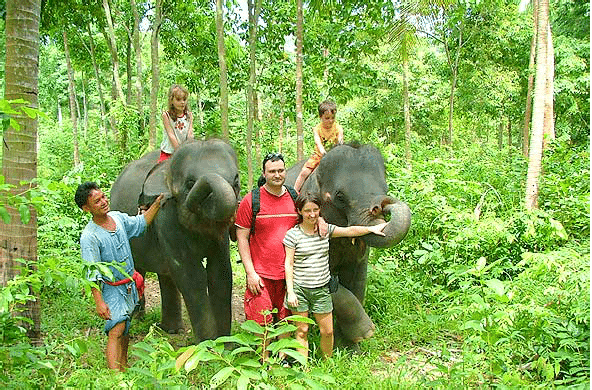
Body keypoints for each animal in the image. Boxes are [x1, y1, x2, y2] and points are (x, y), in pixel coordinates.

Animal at [110, 139, 239, 342]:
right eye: (190, 183)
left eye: (236, 181)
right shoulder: (166, 215)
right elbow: (191, 275)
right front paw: (209, 346)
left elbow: (220, 272)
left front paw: (226, 344)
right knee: (137, 268)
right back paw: (138, 318)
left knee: (165, 273)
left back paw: (171, 330)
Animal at [284, 143, 410, 348]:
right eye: (340, 197)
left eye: (385, 187)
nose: (381, 204)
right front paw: (366, 331)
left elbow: (357, 281)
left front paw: (351, 348)